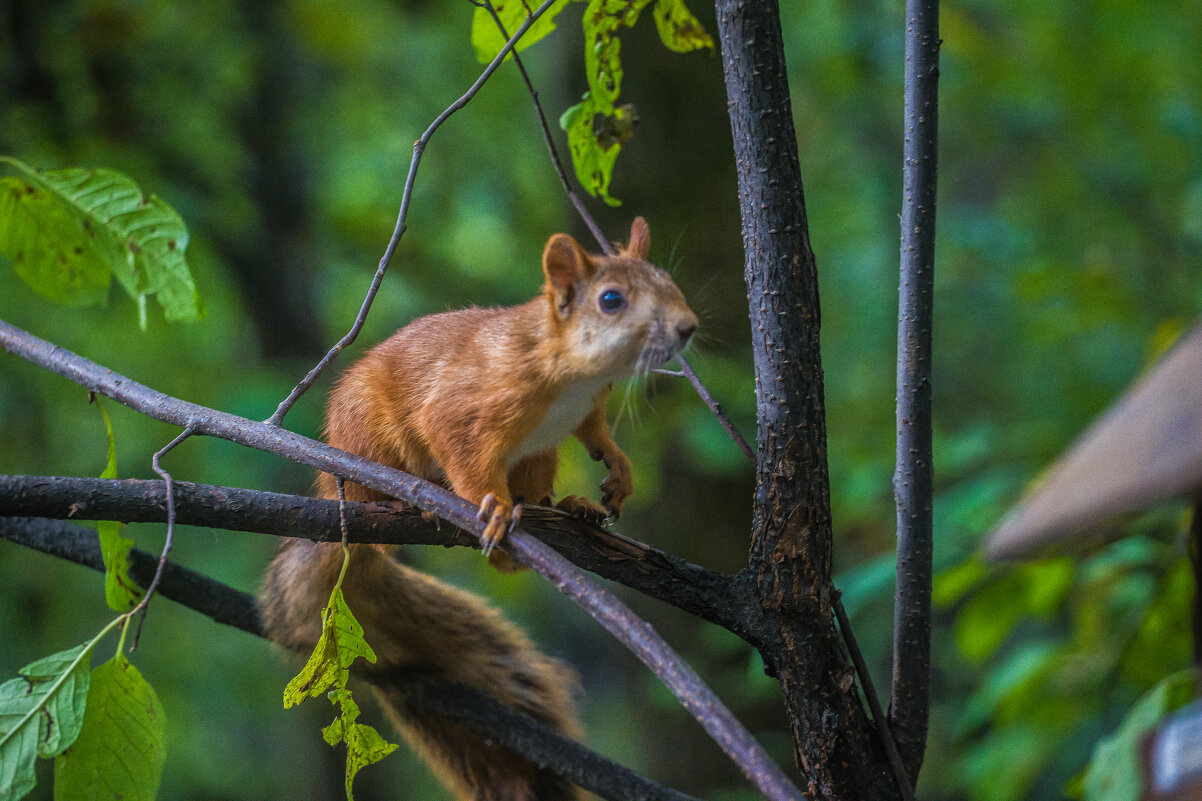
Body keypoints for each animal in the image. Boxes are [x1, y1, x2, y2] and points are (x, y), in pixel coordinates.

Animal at [258, 218, 701, 798]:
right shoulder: (470, 403)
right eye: (611, 300)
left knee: (536, 492)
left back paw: (569, 507)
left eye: (669, 281)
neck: (572, 374)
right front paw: (489, 512)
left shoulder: (586, 409)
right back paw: (415, 502)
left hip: (538, 456)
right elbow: (461, 450)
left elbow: (596, 432)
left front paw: (618, 469)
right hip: (363, 435)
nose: (688, 328)